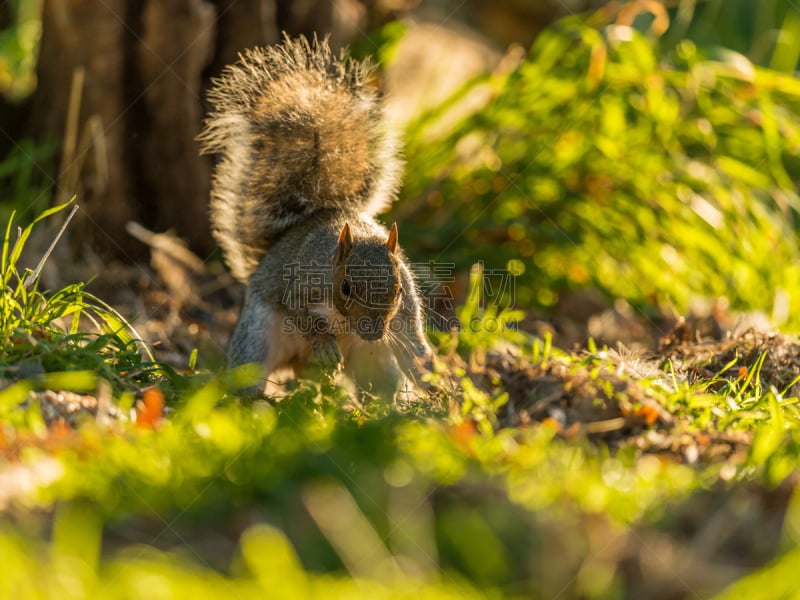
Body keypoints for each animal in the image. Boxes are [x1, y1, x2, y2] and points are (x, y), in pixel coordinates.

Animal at [197, 36, 432, 394]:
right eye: (346, 287)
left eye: (398, 291)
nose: (374, 334)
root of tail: (299, 364)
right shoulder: (299, 284)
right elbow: (302, 315)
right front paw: (324, 343)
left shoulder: (403, 305)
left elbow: (412, 335)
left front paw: (428, 371)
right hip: (257, 337)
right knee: (249, 370)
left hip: (373, 360)